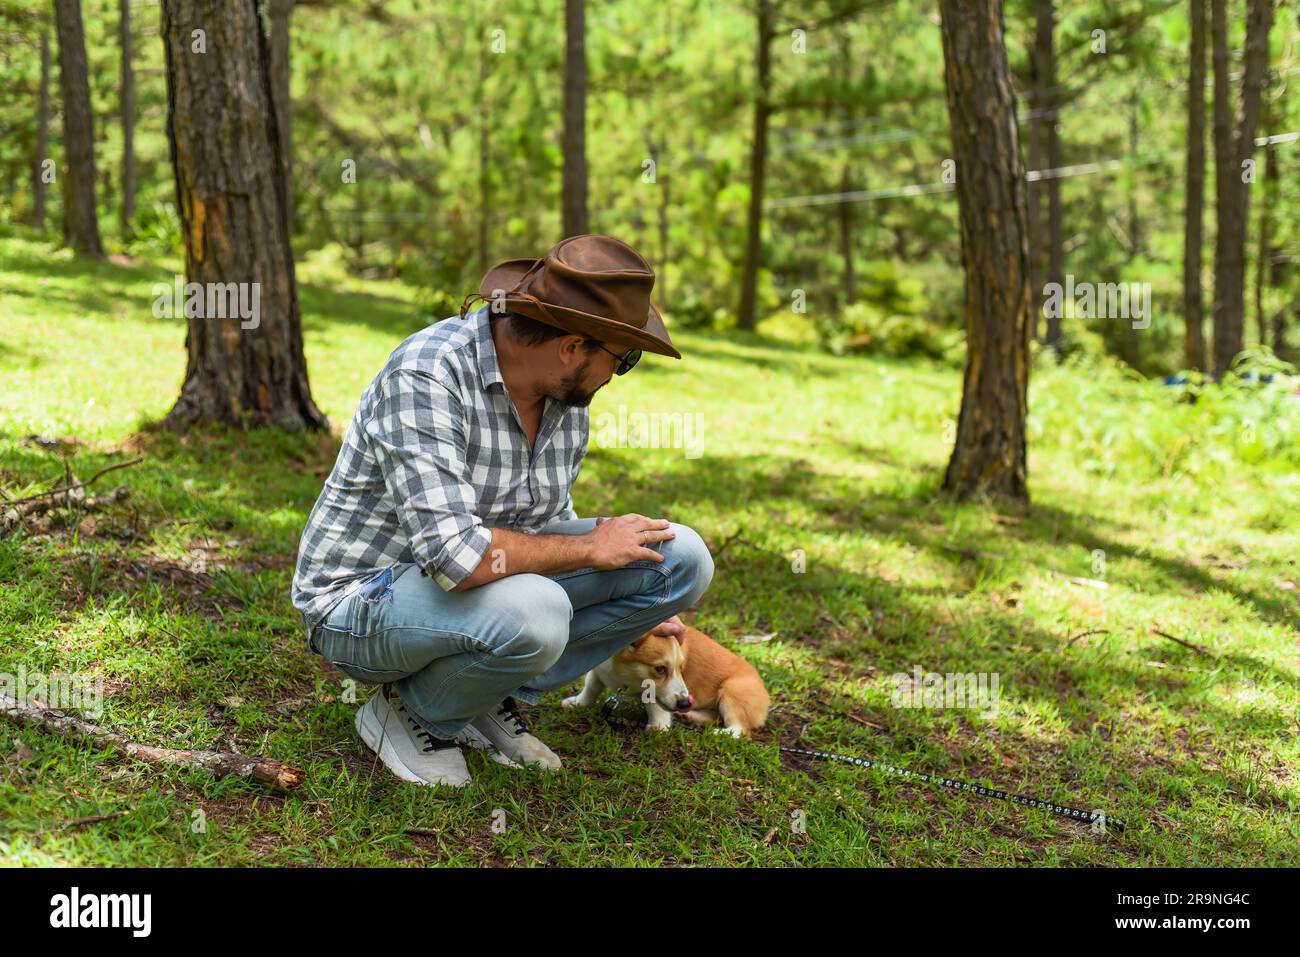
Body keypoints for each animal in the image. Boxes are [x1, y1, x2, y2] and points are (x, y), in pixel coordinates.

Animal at [561, 624, 769, 738]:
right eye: (660, 669)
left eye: (681, 667)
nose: (685, 703)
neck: (624, 673)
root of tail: (766, 695)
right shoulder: (598, 671)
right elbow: (591, 687)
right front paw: (576, 703)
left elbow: (654, 704)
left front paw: (658, 727)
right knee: (715, 716)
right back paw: (690, 717)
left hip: (731, 691)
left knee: (741, 730)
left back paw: (719, 732)